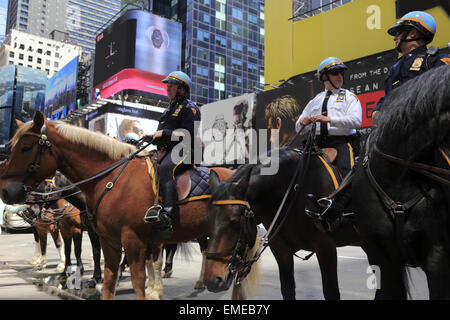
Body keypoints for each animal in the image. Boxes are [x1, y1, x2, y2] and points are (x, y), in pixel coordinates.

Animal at [0, 110, 232, 300]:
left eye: (26, 148)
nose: (6, 191)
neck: (112, 178)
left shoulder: (132, 238)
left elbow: (136, 275)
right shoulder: (104, 237)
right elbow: (98, 267)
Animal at [205, 148, 362, 300]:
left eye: (235, 221)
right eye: (208, 220)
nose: (212, 281)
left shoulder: (325, 247)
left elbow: (331, 292)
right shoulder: (281, 250)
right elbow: (287, 289)